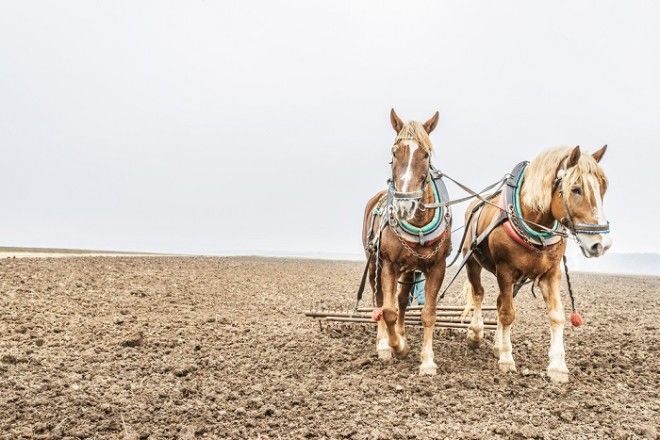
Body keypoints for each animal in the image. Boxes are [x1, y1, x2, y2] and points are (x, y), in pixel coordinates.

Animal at [360, 109, 454, 374]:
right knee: (380, 299)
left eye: (426, 153)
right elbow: (388, 310)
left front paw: (427, 361)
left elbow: (428, 313)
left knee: (402, 300)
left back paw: (400, 333)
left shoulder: (437, 266)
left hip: (411, 268)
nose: (404, 205)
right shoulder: (389, 264)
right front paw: (396, 347)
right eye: (394, 151)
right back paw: (384, 343)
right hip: (374, 263)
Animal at [462, 146, 612, 384]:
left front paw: (558, 367)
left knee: (498, 302)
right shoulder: (504, 271)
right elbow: (508, 314)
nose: (602, 244)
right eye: (576, 189)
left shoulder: (551, 273)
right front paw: (507, 359)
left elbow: (556, 315)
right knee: (479, 294)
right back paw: (476, 333)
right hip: (472, 262)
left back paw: (497, 345)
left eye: (603, 188)